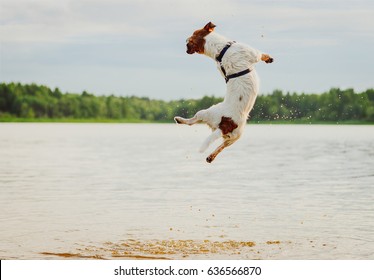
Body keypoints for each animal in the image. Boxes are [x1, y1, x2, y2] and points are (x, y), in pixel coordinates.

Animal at [174, 22, 274, 164]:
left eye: (193, 33)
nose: (186, 40)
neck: (221, 49)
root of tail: (226, 125)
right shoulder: (253, 53)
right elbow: (262, 55)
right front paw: (269, 58)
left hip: (234, 136)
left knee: (221, 145)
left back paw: (210, 156)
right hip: (208, 113)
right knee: (192, 122)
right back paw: (180, 120)